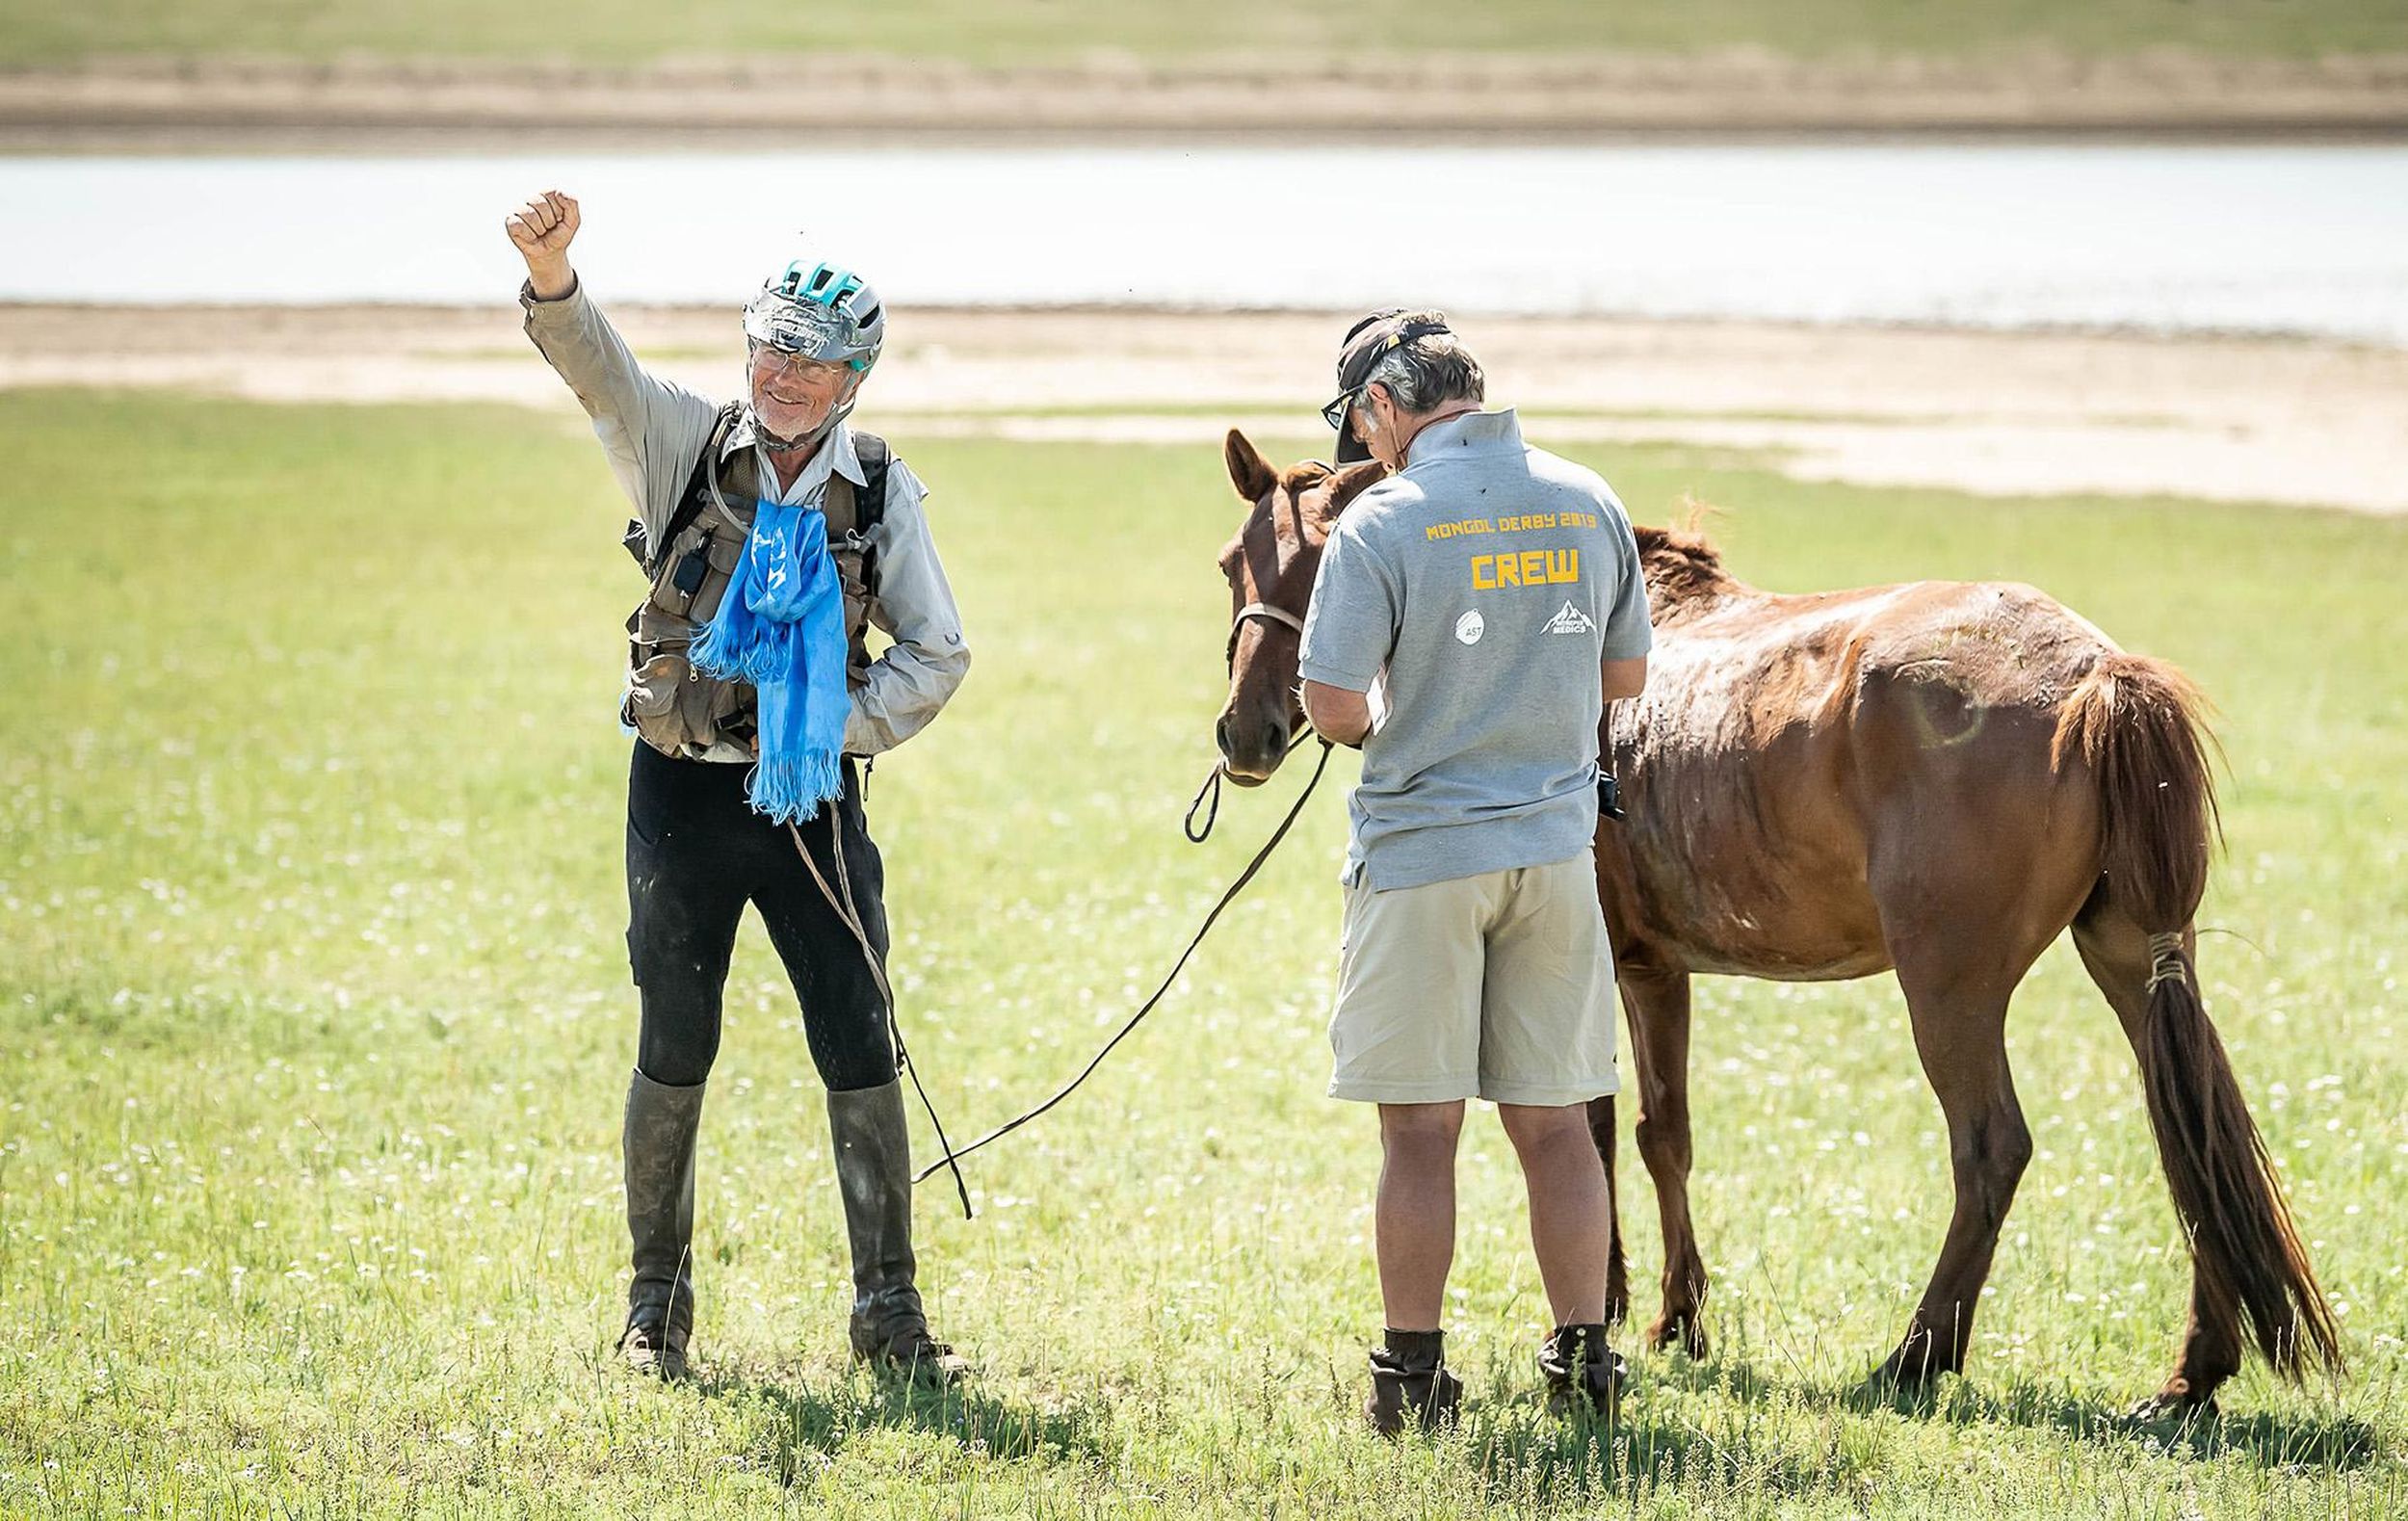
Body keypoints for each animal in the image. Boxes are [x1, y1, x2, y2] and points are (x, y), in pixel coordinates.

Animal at [1209, 428, 2340, 1416]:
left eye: (1321, 562)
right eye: (1235, 561)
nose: (1244, 732)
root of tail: (2095, 672)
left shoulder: (1617, 967)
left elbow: (1604, 1127)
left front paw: (1619, 1306)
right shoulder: (1655, 969)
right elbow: (1663, 1133)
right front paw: (1671, 1314)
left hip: (1950, 986)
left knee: (1991, 1148)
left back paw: (1915, 1354)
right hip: (2133, 960)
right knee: (2188, 1129)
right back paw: (2191, 1371)